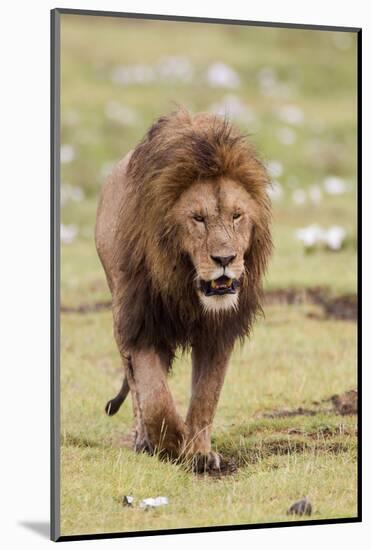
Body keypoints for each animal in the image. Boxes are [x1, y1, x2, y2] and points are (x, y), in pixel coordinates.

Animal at [94, 109, 272, 474]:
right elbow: (155, 397)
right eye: (197, 218)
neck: (185, 286)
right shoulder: (141, 323)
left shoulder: (218, 332)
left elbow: (206, 396)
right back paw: (144, 440)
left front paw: (200, 452)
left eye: (237, 215)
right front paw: (172, 442)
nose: (225, 259)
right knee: (136, 388)